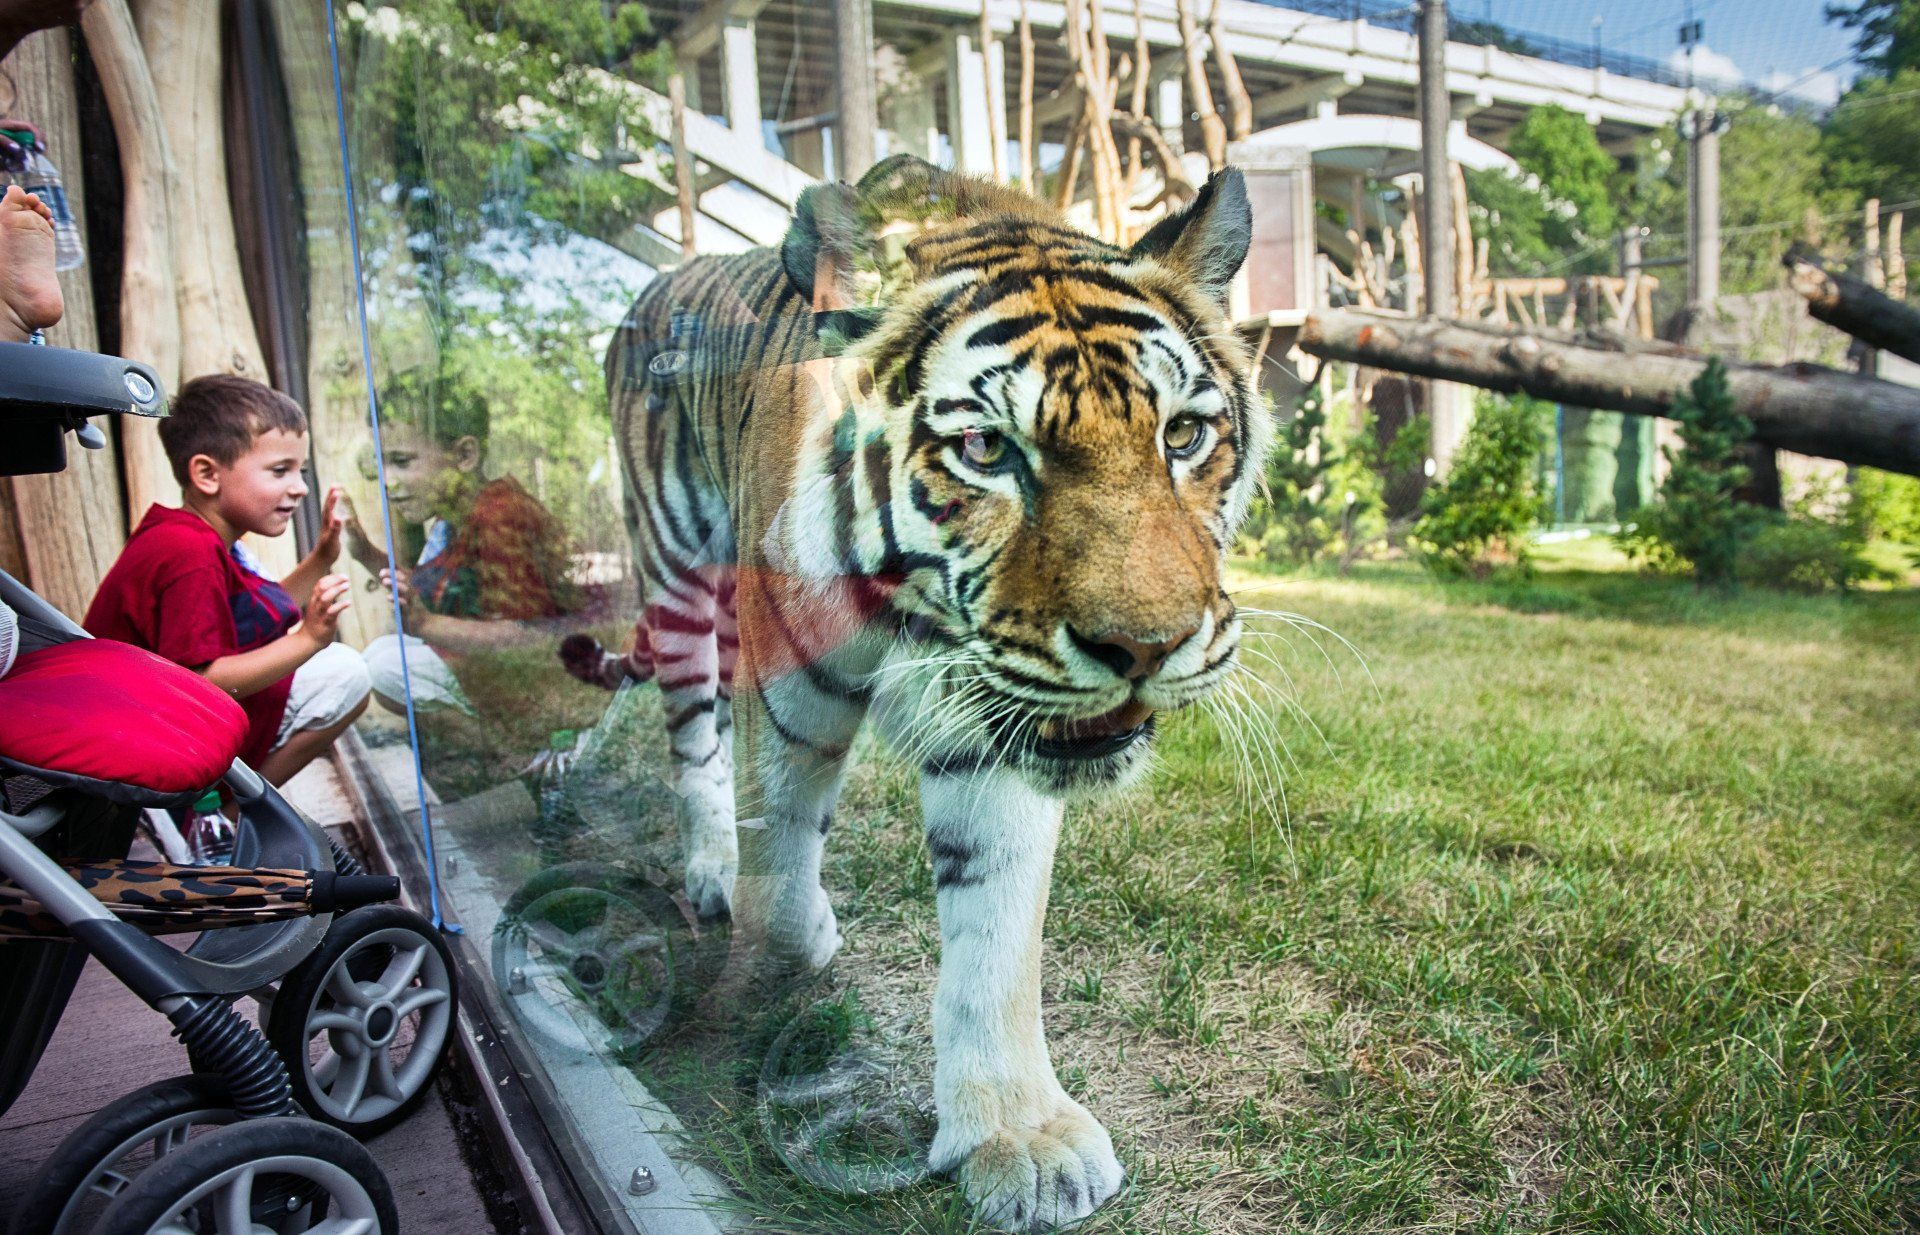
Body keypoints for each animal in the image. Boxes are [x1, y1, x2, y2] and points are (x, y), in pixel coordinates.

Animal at [606, 159, 1267, 1229]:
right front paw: (791, 950)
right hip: (673, 574)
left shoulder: (1000, 736)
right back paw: (708, 867)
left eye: (1183, 434)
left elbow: (995, 933)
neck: (918, 615)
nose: (1146, 647)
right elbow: (778, 875)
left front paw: (1018, 1135)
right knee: (691, 737)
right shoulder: (787, 685)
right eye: (988, 452)